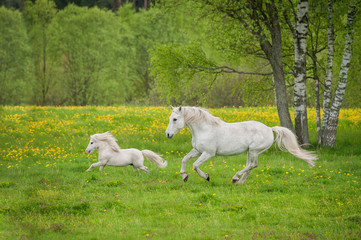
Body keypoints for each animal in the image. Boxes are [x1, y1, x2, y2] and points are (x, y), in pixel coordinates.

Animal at [165, 106, 316, 184]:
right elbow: (184, 159)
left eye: (175, 119)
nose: (168, 134)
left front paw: (206, 177)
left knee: (252, 165)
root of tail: (269, 128)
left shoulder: (208, 153)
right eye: (170, 118)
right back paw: (239, 181)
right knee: (250, 166)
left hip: (254, 151)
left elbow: (195, 165)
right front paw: (184, 176)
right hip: (250, 152)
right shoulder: (197, 150)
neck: (204, 129)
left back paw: (235, 178)